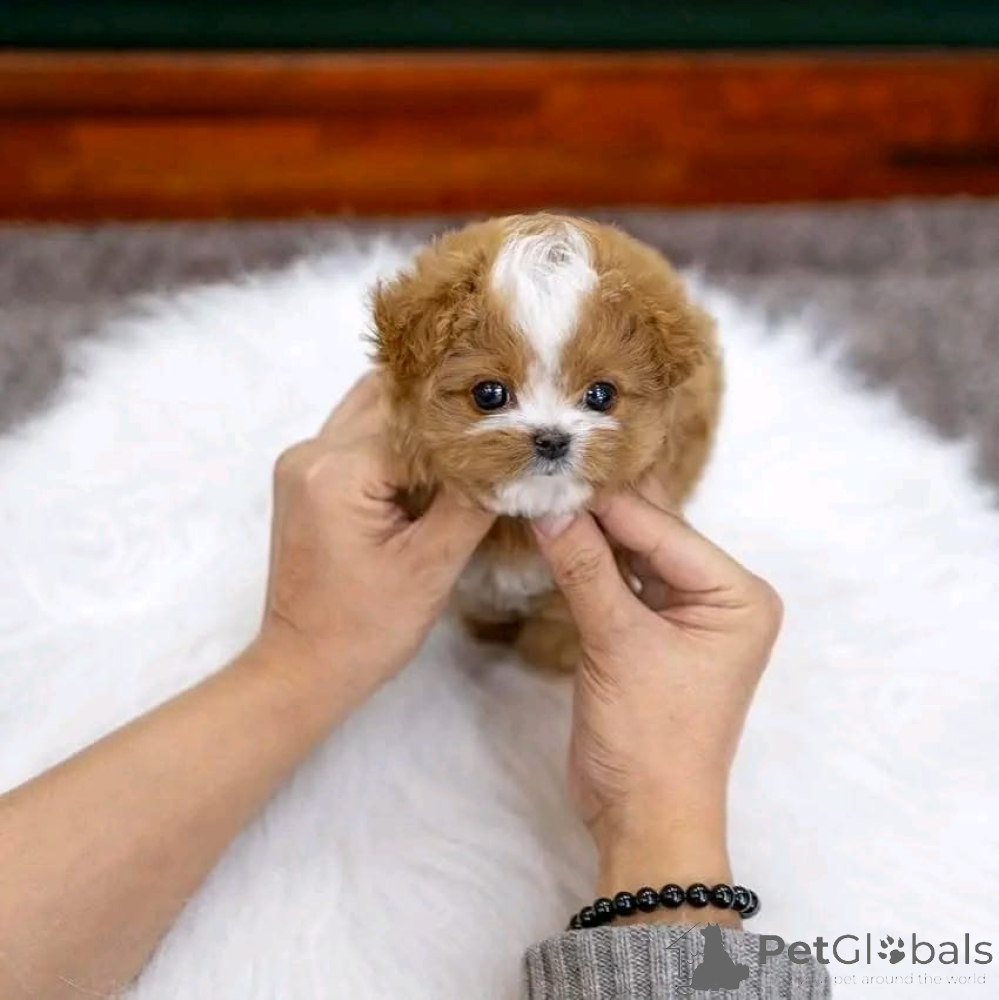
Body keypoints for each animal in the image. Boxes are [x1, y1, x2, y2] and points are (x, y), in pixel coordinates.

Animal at [372, 213, 722, 671]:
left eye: (601, 395)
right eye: (489, 393)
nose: (552, 440)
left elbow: (558, 620)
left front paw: (550, 657)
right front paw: (489, 631)